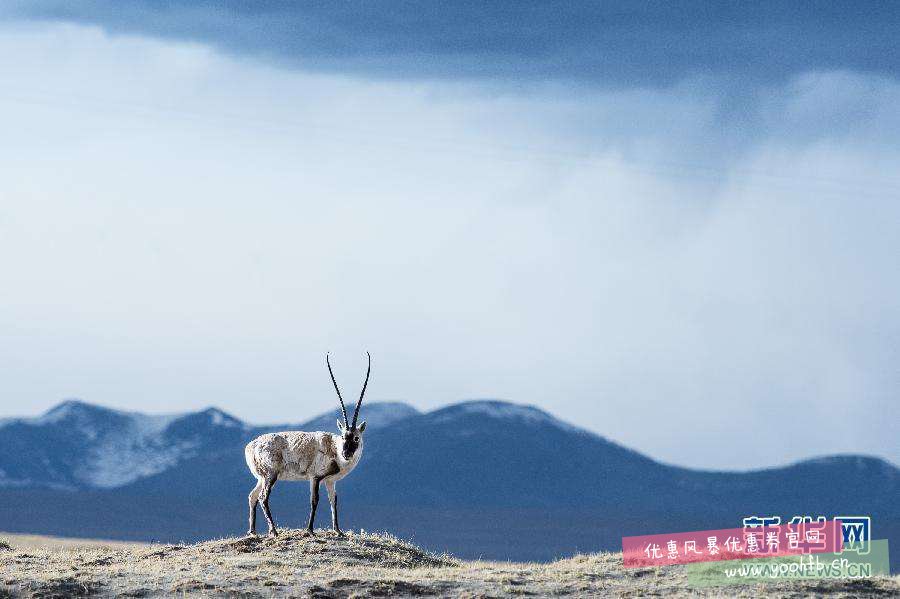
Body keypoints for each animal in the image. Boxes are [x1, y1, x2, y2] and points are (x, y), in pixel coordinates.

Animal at [243, 354, 370, 536]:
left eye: (356, 438)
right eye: (343, 436)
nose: (346, 454)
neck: (334, 447)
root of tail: (251, 447)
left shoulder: (330, 481)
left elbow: (333, 501)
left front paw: (338, 531)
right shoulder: (315, 477)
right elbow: (314, 500)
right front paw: (310, 530)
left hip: (261, 477)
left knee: (252, 496)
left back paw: (252, 531)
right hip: (271, 475)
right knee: (262, 497)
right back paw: (274, 531)